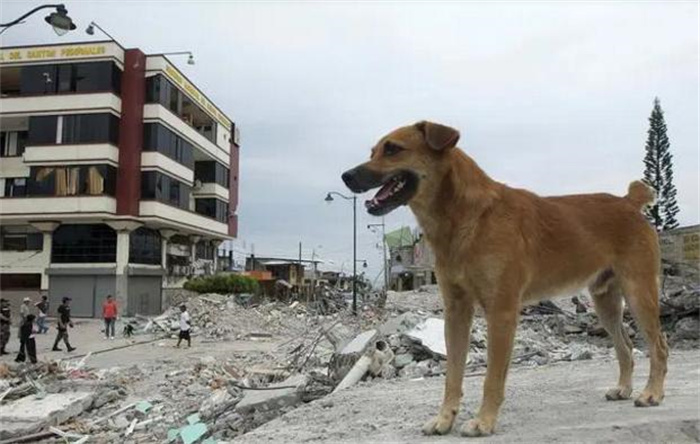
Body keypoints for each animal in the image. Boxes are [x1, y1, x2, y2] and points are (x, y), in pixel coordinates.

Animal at [342, 120, 668, 438]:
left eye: (393, 149)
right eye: (373, 151)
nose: (346, 176)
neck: (464, 217)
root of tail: (628, 202)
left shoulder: (501, 313)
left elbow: (492, 378)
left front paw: (484, 421)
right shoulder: (456, 312)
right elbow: (453, 375)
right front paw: (444, 419)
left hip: (639, 293)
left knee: (659, 346)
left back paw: (652, 394)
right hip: (606, 303)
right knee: (626, 347)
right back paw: (624, 389)